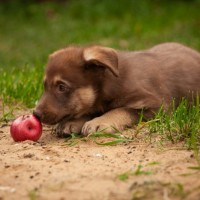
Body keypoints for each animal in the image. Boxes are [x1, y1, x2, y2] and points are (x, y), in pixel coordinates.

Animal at [33, 42, 200, 136]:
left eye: (61, 87)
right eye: (45, 86)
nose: (35, 114)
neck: (110, 83)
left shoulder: (158, 106)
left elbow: (120, 110)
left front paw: (100, 122)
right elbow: (92, 110)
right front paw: (72, 122)